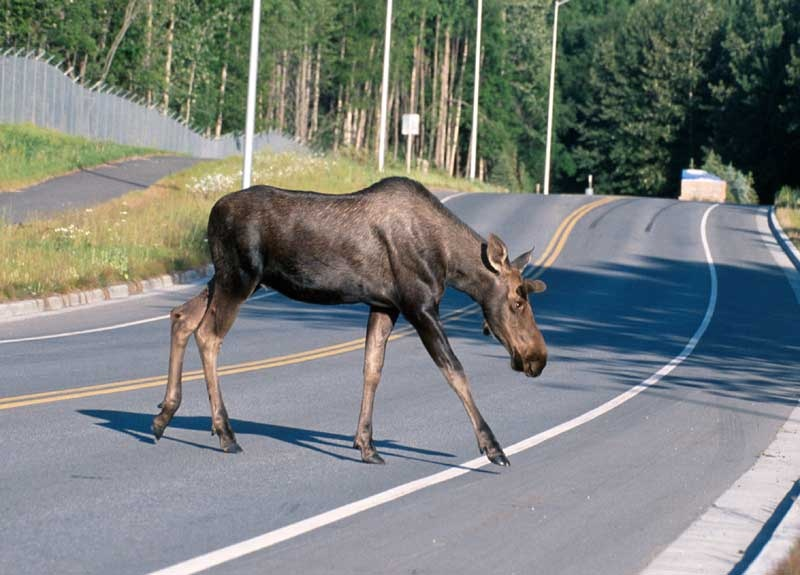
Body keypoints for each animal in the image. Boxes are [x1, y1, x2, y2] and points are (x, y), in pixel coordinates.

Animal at [152, 179, 548, 468]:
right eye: (517, 301)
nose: (538, 358)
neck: (449, 263)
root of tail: (211, 214)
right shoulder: (419, 306)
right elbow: (455, 371)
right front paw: (493, 448)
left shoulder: (384, 305)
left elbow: (372, 369)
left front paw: (366, 444)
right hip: (240, 277)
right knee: (208, 335)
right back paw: (225, 433)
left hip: (225, 277)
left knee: (181, 317)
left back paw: (164, 415)